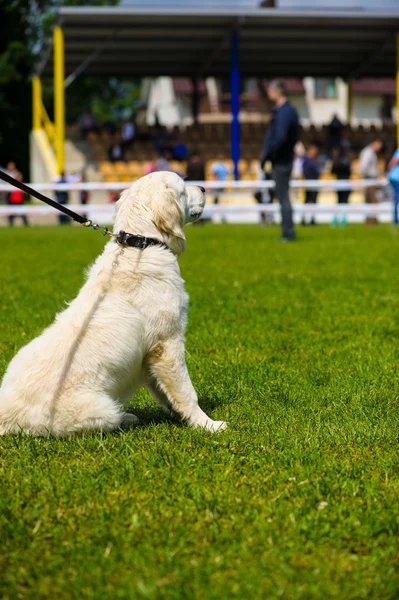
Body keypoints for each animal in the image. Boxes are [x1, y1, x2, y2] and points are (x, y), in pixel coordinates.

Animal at [0, 171, 227, 434]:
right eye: (182, 190)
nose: (203, 187)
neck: (141, 244)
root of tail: (5, 414)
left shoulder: (149, 355)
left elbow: (165, 392)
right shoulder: (167, 342)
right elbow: (186, 391)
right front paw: (208, 424)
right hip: (100, 409)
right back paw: (127, 417)